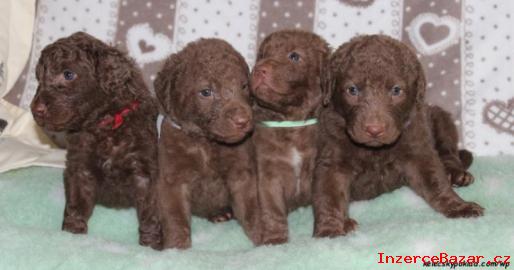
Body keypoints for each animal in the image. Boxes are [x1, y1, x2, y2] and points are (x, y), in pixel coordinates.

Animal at [30, 32, 158, 248]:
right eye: (39, 78)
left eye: (68, 74)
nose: (36, 109)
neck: (105, 124)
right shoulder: (80, 167)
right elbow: (76, 203)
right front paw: (72, 233)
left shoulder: (145, 170)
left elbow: (150, 212)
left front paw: (152, 244)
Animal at [153, 38, 260, 249]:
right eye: (206, 92)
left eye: (244, 86)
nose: (243, 120)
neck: (206, 143)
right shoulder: (173, 179)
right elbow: (175, 217)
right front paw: (176, 248)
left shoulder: (241, 174)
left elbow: (251, 208)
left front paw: (267, 237)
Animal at [248, 30, 328, 245]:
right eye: (261, 55)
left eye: (294, 56)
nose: (258, 70)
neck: (291, 123)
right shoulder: (268, 175)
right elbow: (272, 210)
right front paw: (275, 239)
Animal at [310, 34, 482, 238]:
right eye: (352, 90)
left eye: (396, 90)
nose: (374, 129)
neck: (374, 150)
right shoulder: (333, 157)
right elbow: (330, 194)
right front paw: (330, 230)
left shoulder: (418, 147)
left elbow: (437, 182)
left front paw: (459, 206)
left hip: (440, 118)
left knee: (449, 152)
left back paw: (457, 174)